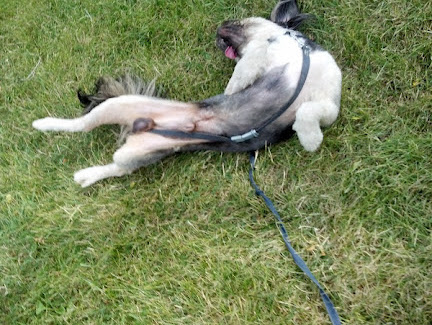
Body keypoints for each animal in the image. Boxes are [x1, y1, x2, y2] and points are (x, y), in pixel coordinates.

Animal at [33, 0, 340, 187]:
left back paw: (86, 175)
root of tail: (143, 126)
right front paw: (310, 138)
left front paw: (309, 137)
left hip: (140, 152)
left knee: (116, 166)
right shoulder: (258, 60)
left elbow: (307, 111)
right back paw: (44, 123)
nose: (217, 30)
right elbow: (245, 70)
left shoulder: (328, 105)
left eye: (236, 21)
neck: (299, 51)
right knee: (81, 125)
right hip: (121, 104)